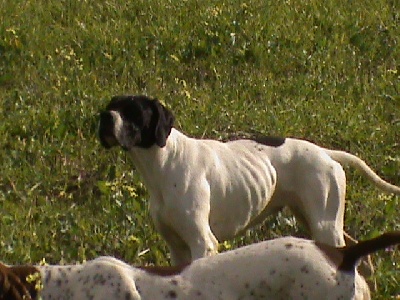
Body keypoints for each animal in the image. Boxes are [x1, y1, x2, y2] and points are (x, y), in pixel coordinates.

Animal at [97, 95, 400, 266]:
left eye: (133, 111)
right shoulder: (177, 248)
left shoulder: (203, 243)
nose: (104, 117)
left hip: (324, 226)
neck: (163, 162)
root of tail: (324, 152)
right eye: (111, 106)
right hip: (316, 220)